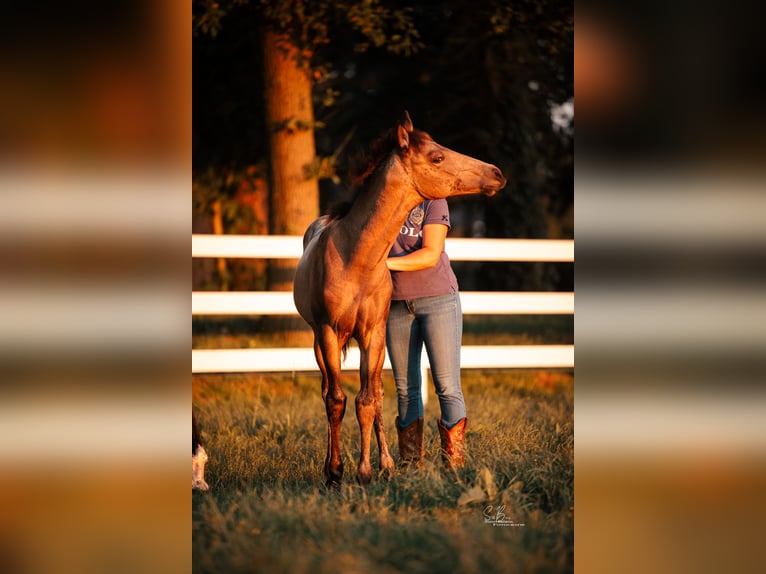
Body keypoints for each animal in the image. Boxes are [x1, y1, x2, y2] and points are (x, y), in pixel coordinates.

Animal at [293, 112, 506, 486]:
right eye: (437, 157)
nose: (496, 173)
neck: (355, 259)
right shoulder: (329, 332)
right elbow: (336, 400)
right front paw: (335, 472)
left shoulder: (374, 333)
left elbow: (367, 400)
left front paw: (366, 471)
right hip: (320, 342)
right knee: (327, 391)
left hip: (374, 344)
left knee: (376, 393)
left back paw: (388, 462)